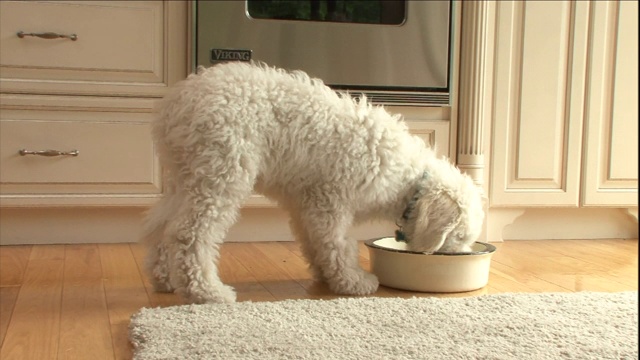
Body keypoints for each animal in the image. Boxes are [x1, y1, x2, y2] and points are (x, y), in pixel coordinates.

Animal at [142, 62, 482, 304]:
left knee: (162, 227)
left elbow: (314, 243)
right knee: (189, 234)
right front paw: (352, 280)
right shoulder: (329, 201)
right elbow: (337, 244)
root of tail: (175, 103)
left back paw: (166, 279)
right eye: (459, 235)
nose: (463, 256)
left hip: (187, 178)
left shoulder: (305, 204)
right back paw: (206, 292)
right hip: (222, 174)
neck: (407, 176)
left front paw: (326, 275)